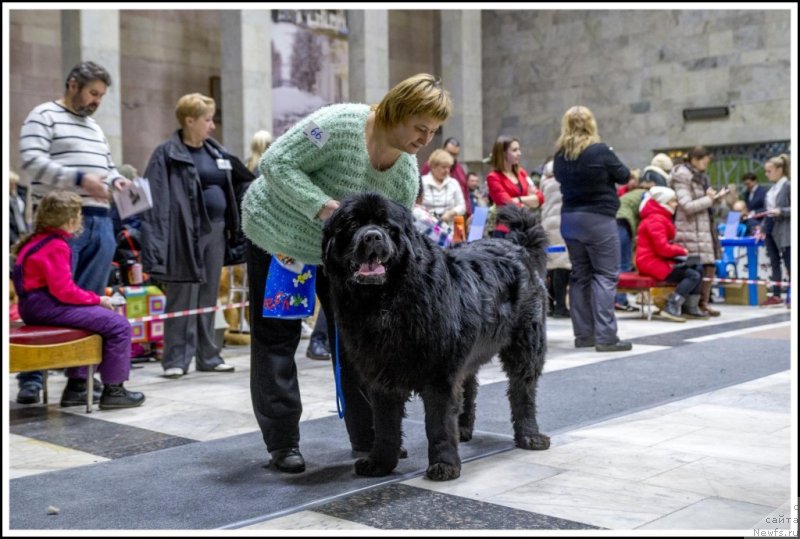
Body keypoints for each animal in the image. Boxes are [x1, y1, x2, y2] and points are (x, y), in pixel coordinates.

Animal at [320, 194, 552, 480]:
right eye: (352, 225)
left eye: (387, 227)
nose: (372, 237)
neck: (384, 302)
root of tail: (517, 245)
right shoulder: (381, 373)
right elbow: (385, 424)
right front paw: (380, 462)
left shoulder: (439, 372)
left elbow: (438, 422)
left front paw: (444, 464)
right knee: (470, 386)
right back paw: (464, 429)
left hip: (527, 342)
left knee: (523, 389)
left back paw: (530, 435)